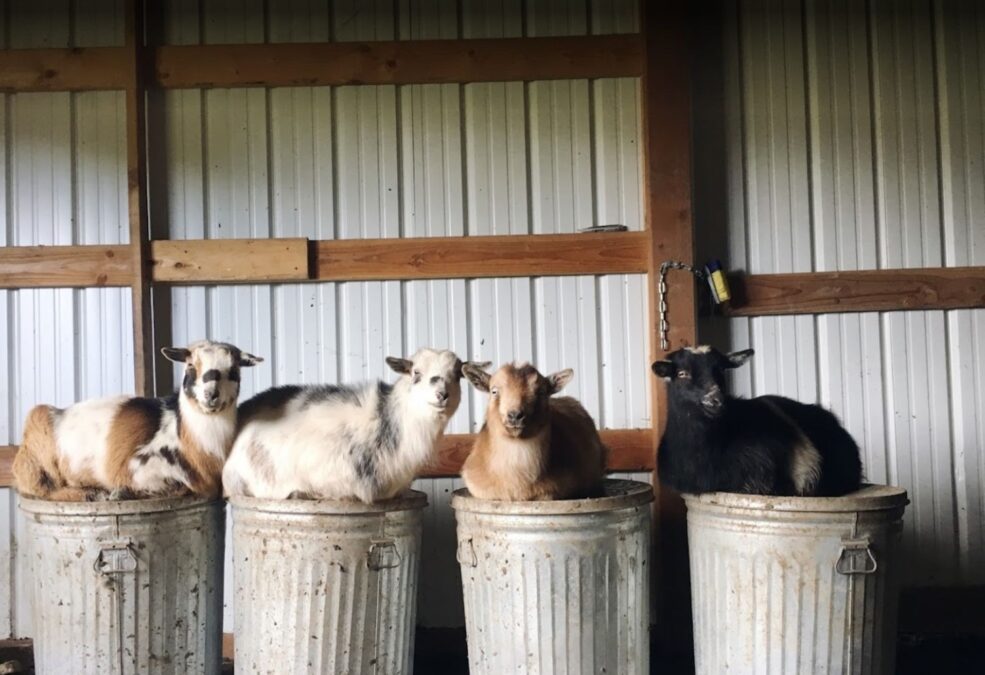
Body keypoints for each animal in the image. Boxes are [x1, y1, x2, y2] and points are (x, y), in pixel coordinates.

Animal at [13, 340, 263, 501]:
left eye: (233, 370)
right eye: (191, 366)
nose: (211, 395)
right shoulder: (138, 468)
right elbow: (178, 486)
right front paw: (118, 493)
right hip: (38, 458)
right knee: (40, 489)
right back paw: (91, 494)